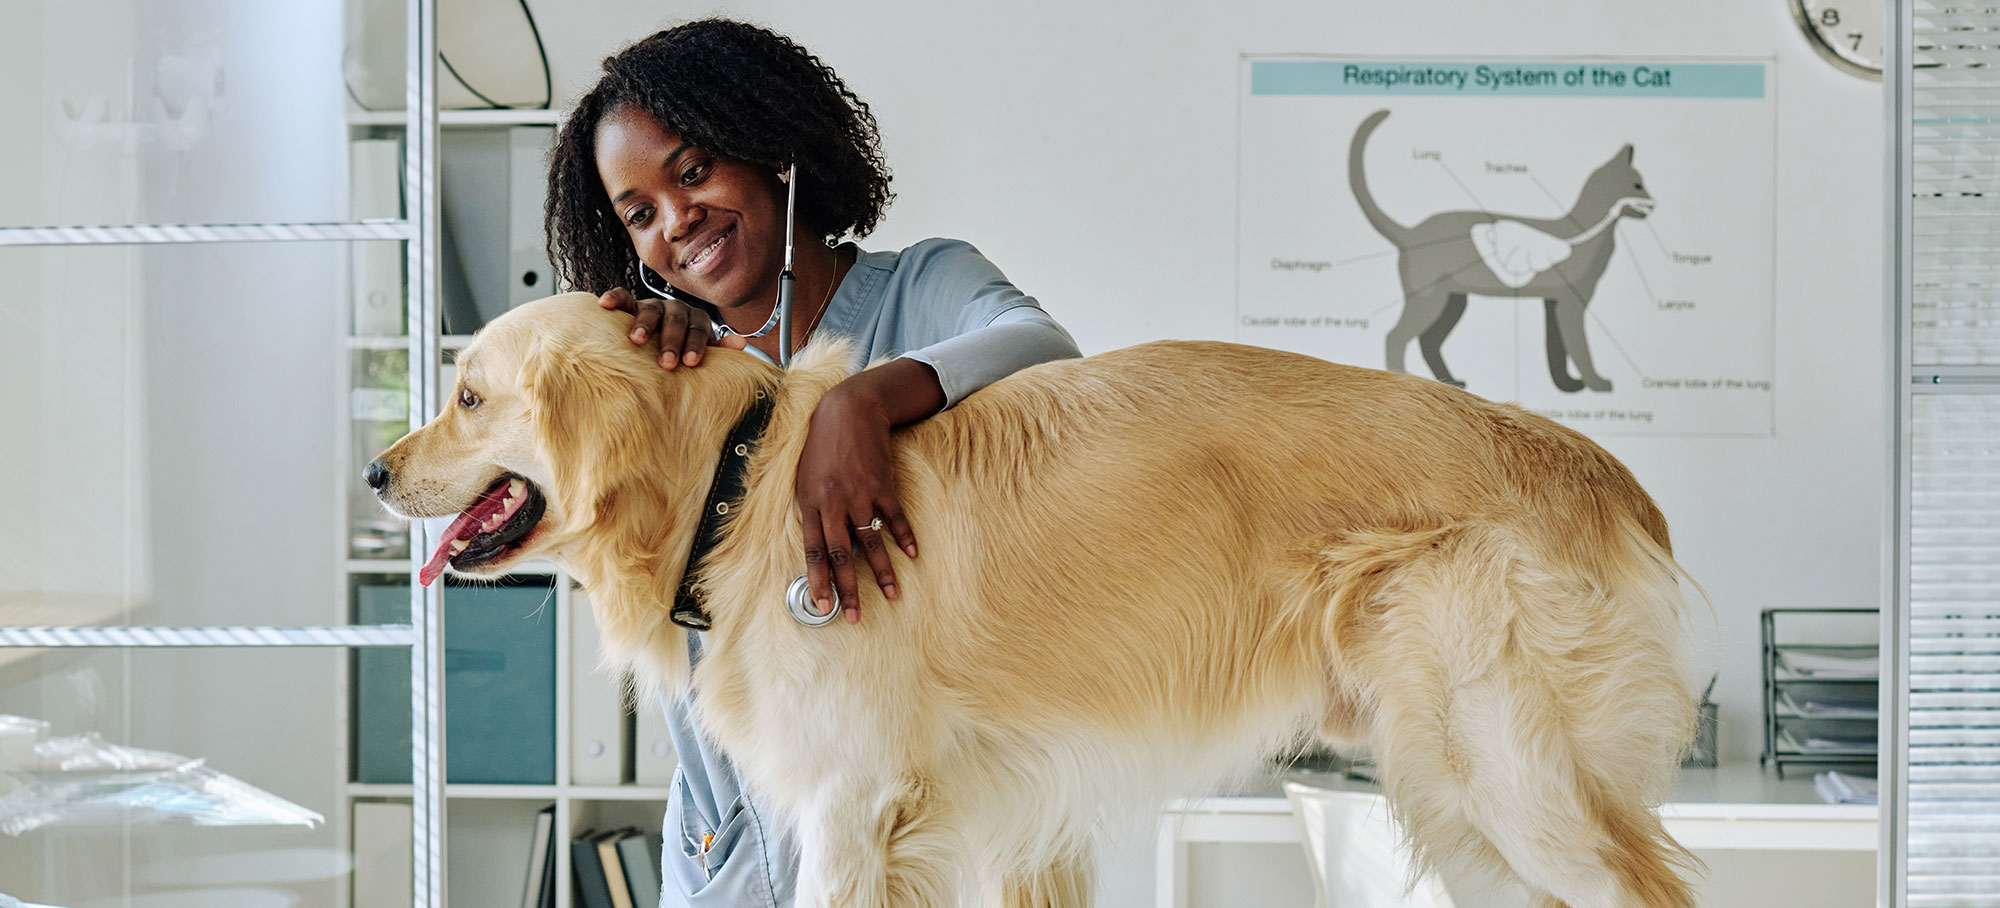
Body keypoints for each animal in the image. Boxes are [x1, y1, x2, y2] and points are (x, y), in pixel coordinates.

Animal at [368, 294, 1696, 908]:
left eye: (470, 397)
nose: (375, 471)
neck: (737, 476)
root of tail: (1605, 471)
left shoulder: (852, 806)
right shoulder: (977, 824)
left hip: (1506, 779)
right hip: (1462, 807)